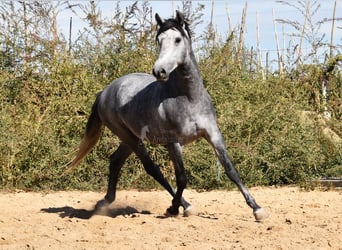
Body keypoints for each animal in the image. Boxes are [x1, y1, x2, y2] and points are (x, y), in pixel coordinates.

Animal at [68, 10, 268, 221]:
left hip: (131, 138)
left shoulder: (213, 134)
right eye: (159, 40)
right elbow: (182, 177)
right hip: (129, 138)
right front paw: (173, 208)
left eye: (178, 39)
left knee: (115, 161)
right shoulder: (173, 142)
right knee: (152, 169)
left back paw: (105, 201)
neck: (189, 98)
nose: (159, 71)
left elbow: (231, 169)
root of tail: (105, 92)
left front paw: (257, 209)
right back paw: (184, 205)